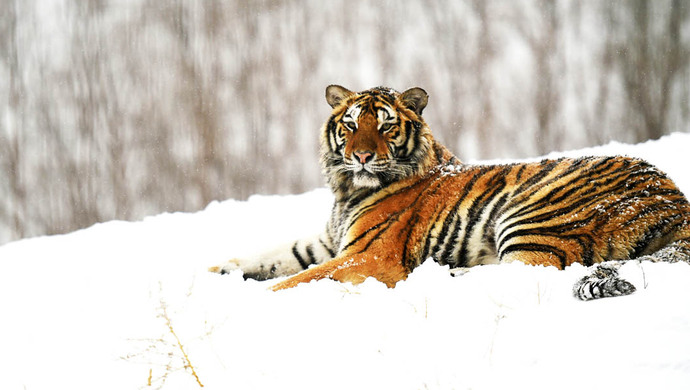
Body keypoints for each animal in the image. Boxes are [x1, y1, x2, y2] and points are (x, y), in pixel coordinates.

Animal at [210, 84, 688, 300]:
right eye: (350, 124)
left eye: (385, 125)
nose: (361, 155)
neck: (346, 192)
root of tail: (672, 196)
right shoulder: (328, 241)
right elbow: (273, 257)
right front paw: (218, 272)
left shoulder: (368, 254)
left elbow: (299, 278)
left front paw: (257, 300)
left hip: (532, 216)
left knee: (528, 270)